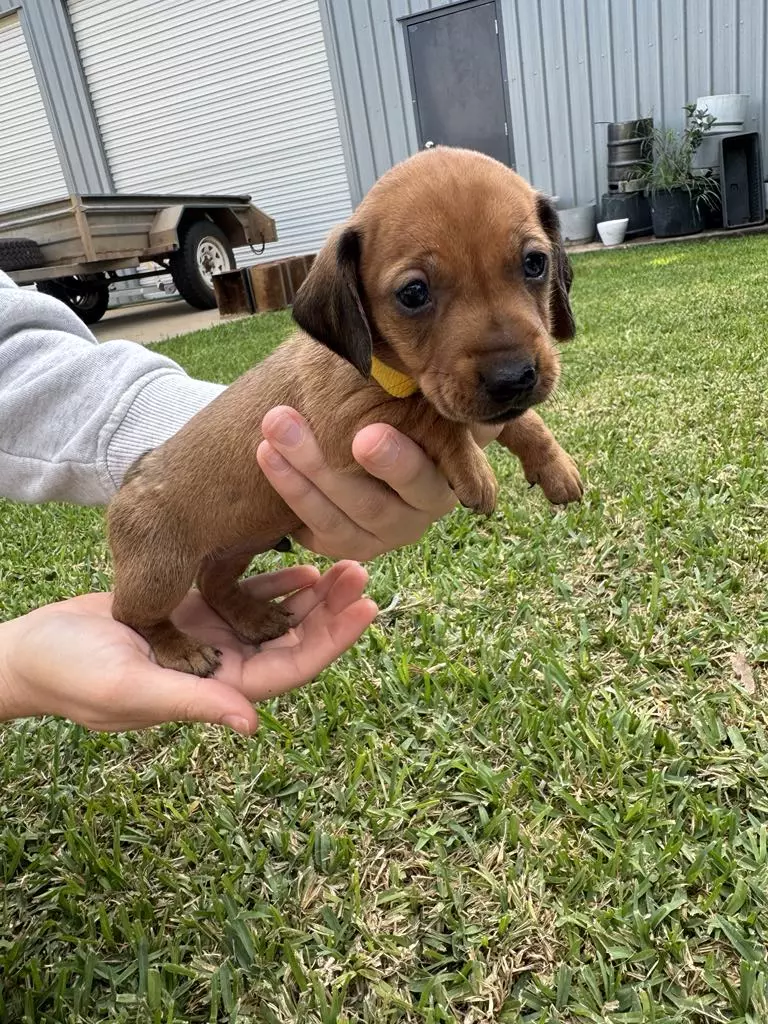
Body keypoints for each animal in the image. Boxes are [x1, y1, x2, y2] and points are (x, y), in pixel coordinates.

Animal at [107, 146, 583, 677]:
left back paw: (252, 617)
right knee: (130, 614)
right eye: (414, 294)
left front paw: (554, 463)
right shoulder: (348, 421)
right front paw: (471, 464)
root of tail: (130, 479)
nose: (513, 377)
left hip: (235, 546)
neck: (390, 366)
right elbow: (429, 414)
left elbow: (523, 421)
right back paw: (180, 648)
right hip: (160, 573)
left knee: (212, 583)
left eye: (535, 263)